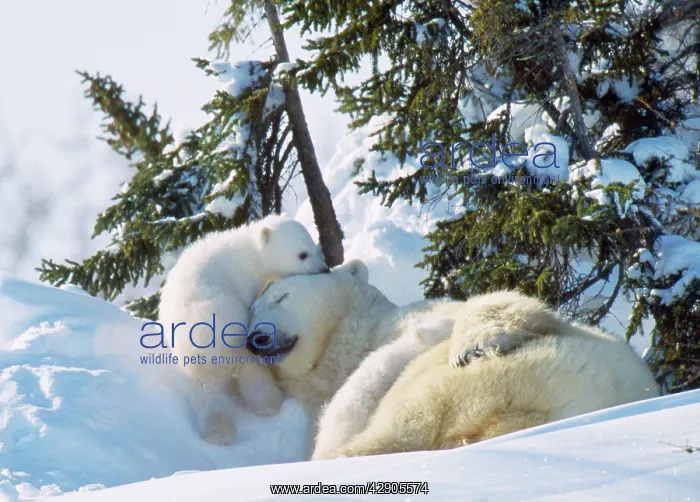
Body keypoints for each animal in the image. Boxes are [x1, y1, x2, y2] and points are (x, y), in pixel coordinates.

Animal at [158, 214, 327, 445]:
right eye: (303, 254)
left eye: (312, 245)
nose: (324, 269)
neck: (250, 252)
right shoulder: (244, 282)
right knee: (250, 371)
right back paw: (268, 404)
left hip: (192, 357)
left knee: (206, 392)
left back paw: (220, 431)